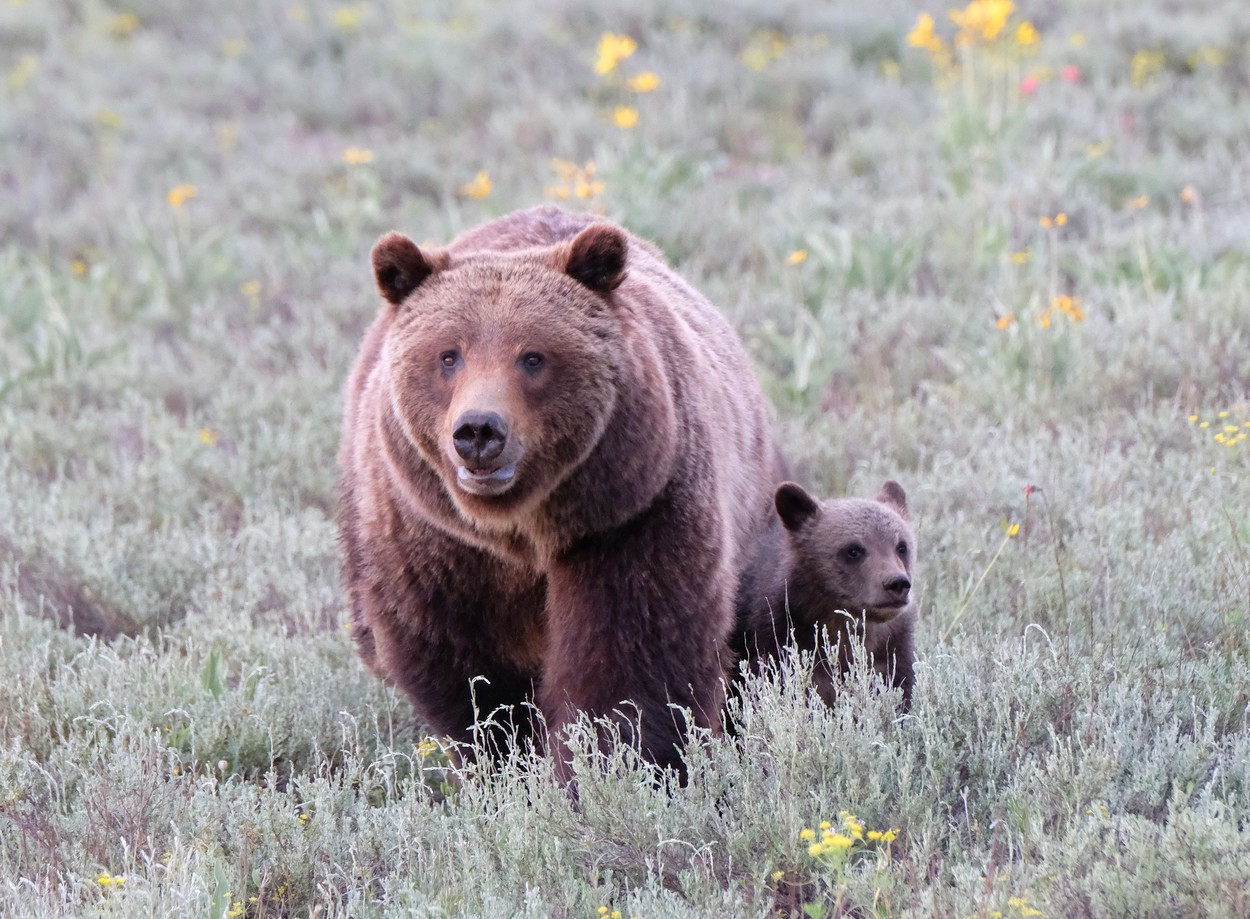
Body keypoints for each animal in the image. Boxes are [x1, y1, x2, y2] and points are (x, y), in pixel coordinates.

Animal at [340, 205, 780, 780]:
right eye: (448, 355)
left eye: (532, 356)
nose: (478, 430)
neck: (521, 531)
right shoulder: (431, 540)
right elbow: (469, 673)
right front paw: (507, 760)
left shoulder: (631, 516)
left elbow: (631, 663)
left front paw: (616, 768)